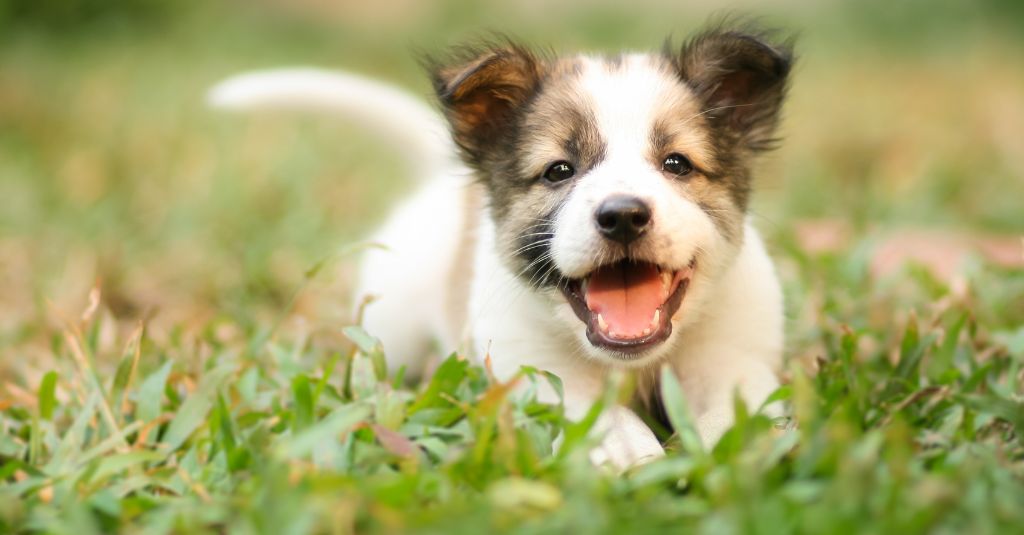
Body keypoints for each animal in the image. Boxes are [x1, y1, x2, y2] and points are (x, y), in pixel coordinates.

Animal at [209, 24, 790, 467]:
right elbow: (602, 417)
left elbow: (735, 416)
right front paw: (629, 455)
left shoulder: (736, 363)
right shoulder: (537, 372)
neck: (635, 364)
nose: (623, 215)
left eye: (676, 164)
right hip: (391, 335)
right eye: (559, 171)